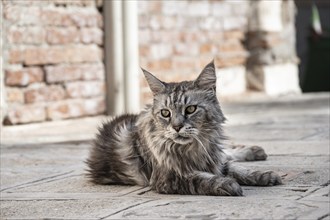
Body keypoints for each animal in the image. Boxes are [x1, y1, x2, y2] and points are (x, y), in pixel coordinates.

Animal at [86, 60, 282, 196]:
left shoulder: (214, 160)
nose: (177, 126)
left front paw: (265, 175)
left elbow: (239, 170)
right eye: (165, 113)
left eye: (190, 109)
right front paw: (228, 183)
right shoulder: (169, 178)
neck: (192, 149)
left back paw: (255, 150)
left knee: (227, 151)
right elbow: (203, 179)